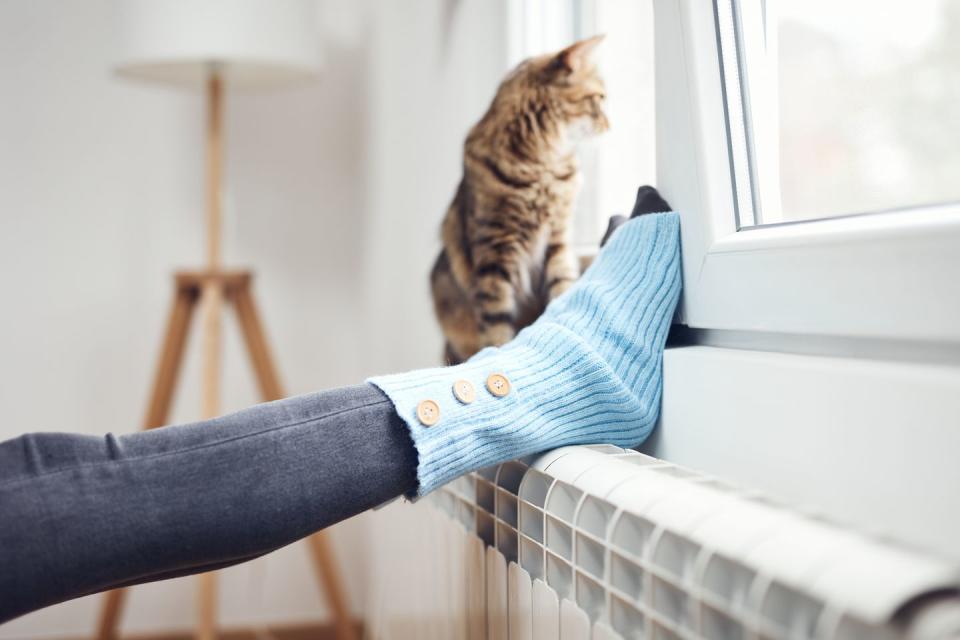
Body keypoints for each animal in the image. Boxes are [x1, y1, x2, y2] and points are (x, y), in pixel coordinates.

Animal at [430, 36, 604, 364]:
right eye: (598, 99)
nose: (609, 124)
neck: (541, 166)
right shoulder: (495, 252)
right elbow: (497, 325)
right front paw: (498, 353)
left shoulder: (557, 241)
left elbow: (562, 289)